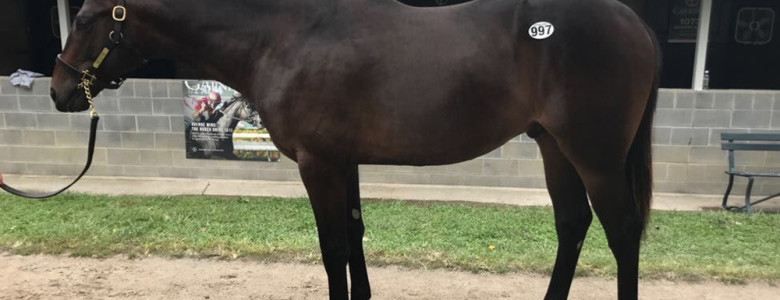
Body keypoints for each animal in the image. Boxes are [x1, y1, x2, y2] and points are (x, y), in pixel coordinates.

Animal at [48, 0, 660, 298]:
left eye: (86, 19)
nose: (57, 91)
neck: (283, 35)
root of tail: (634, 22)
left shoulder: (319, 164)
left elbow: (333, 249)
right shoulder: (345, 162)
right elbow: (355, 236)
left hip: (595, 155)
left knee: (622, 231)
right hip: (555, 146)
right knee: (573, 224)